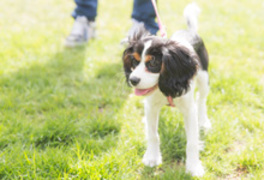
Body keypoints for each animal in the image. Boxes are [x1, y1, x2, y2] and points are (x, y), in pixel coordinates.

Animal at [121, 3, 210, 177]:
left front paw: (193, 167)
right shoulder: (151, 106)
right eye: (134, 61)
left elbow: (192, 141)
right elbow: (153, 134)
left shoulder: (189, 110)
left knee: (201, 99)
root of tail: (189, 31)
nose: (133, 80)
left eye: (153, 63)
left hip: (204, 77)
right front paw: (152, 157)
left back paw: (203, 121)